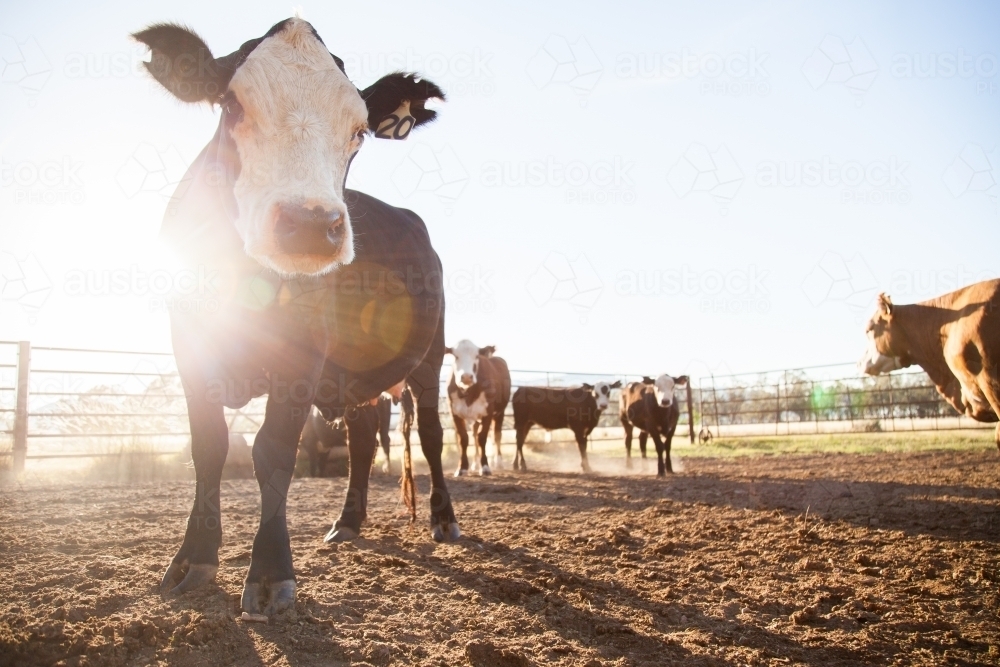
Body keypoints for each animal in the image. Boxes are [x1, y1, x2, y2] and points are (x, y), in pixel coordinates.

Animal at [134, 17, 460, 620]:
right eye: (231, 105)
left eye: (359, 131)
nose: (310, 224)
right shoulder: (189, 344)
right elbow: (208, 446)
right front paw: (192, 560)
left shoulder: (303, 354)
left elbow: (273, 451)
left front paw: (269, 574)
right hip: (359, 376)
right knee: (361, 439)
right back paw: (348, 521)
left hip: (429, 358)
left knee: (430, 435)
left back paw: (444, 519)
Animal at [448, 342, 512, 478]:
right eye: (456, 356)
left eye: (476, 356)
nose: (466, 377)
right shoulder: (455, 414)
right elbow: (464, 439)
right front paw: (462, 468)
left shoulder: (487, 413)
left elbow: (482, 438)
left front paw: (485, 467)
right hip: (475, 419)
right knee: (474, 435)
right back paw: (474, 464)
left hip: (500, 413)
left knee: (497, 435)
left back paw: (498, 462)